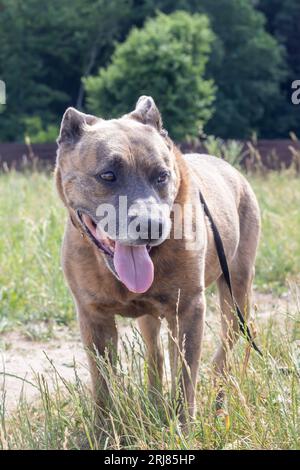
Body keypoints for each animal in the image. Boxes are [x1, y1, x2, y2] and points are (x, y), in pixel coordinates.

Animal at [55, 95, 260, 422]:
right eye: (108, 175)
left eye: (162, 176)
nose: (151, 225)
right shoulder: (93, 317)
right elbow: (102, 386)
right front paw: (104, 429)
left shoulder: (188, 309)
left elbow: (185, 377)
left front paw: (182, 425)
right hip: (151, 318)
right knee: (155, 354)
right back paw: (154, 401)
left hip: (237, 294)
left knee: (224, 351)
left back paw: (218, 399)